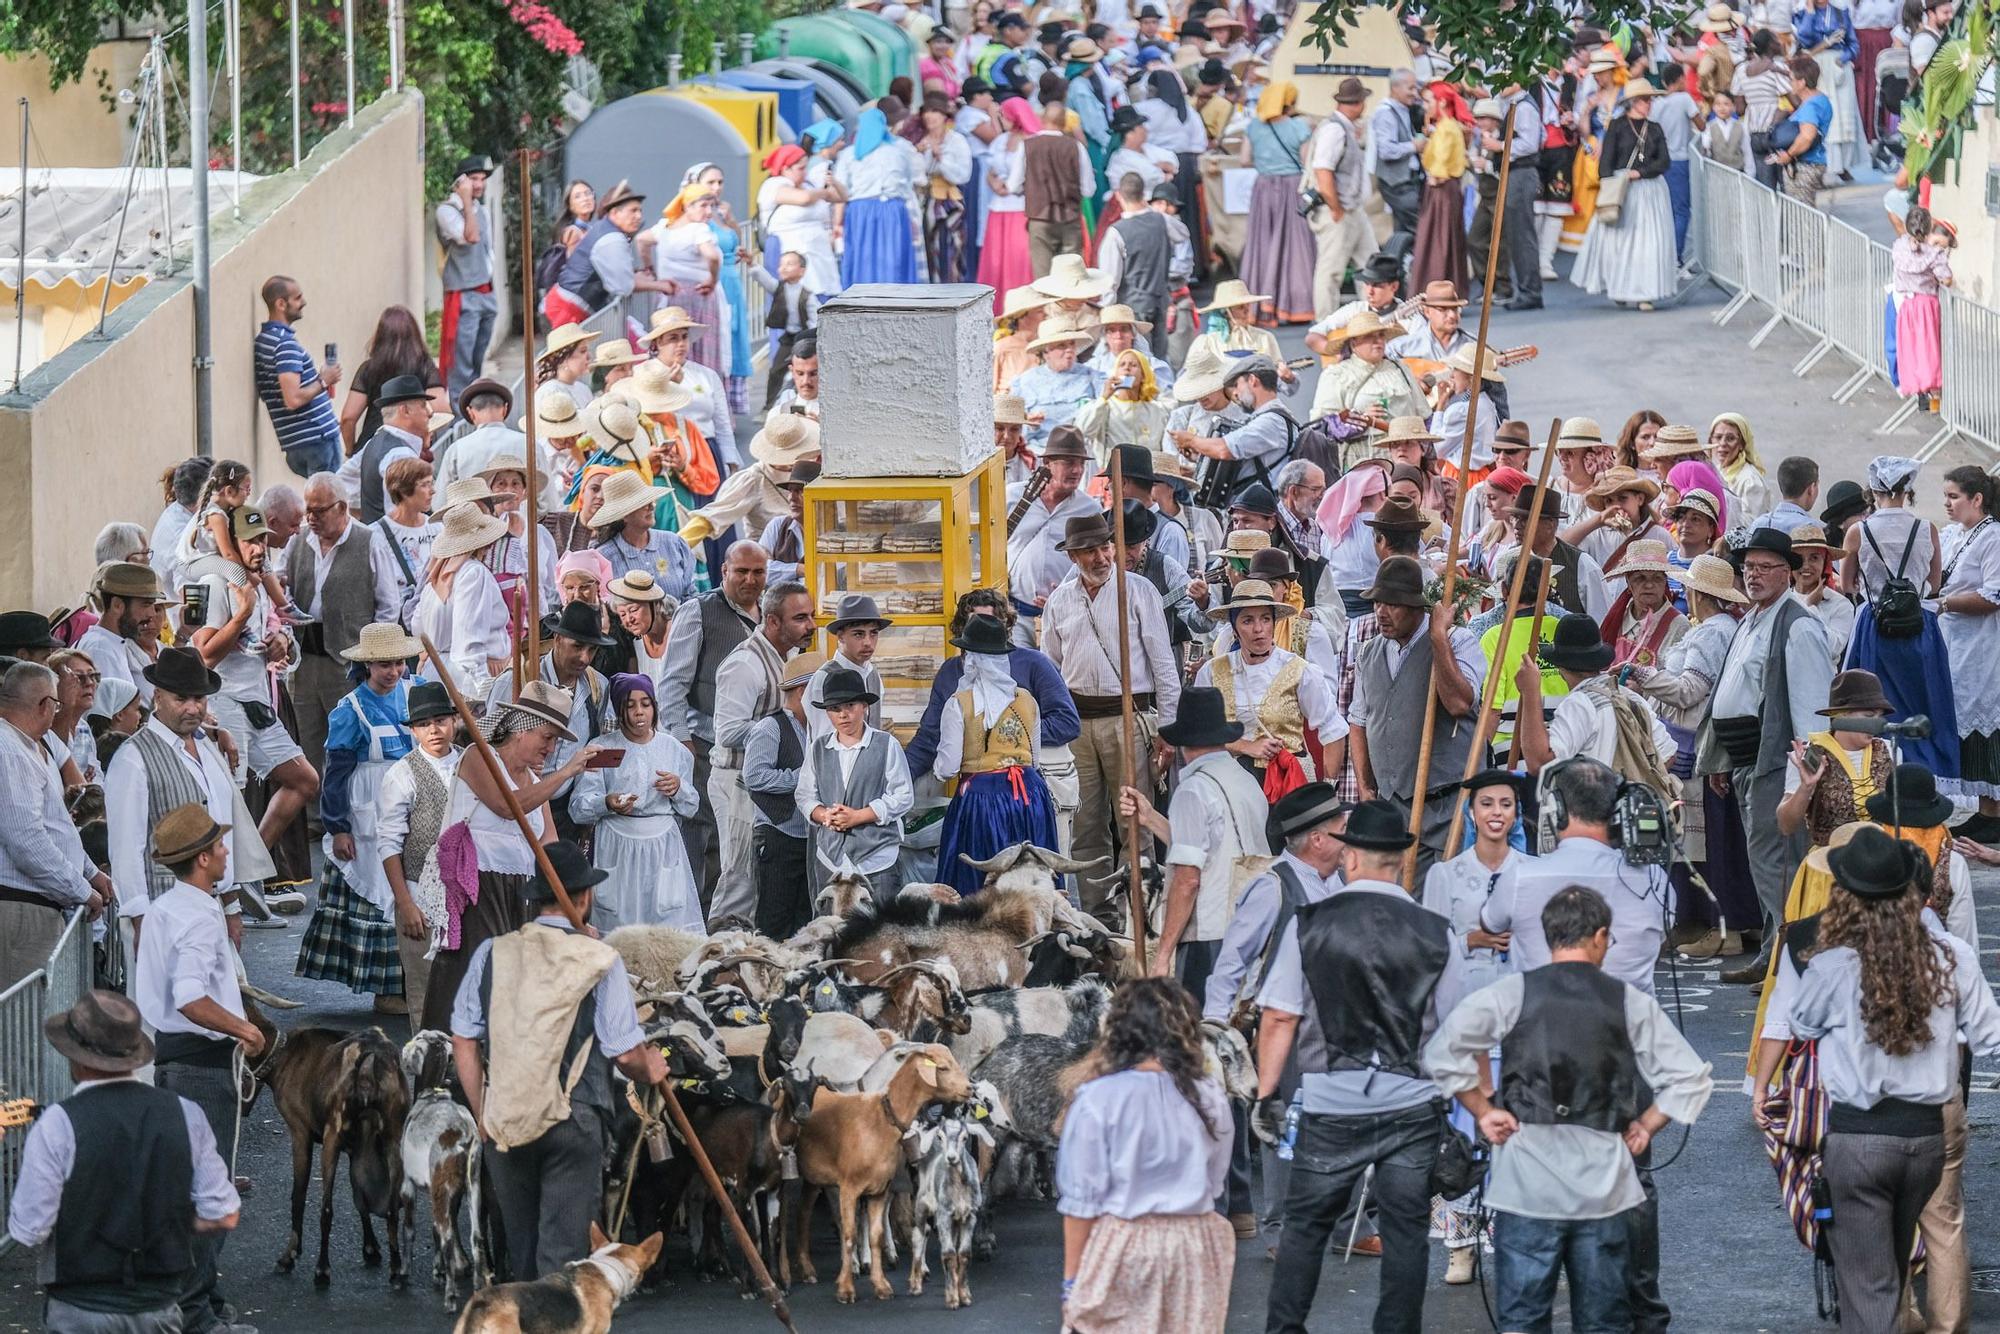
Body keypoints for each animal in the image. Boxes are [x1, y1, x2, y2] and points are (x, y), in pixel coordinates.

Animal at [268, 1032, 412, 1288]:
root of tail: (370, 1059)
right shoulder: (356, 1148)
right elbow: (359, 1196)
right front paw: (371, 1249)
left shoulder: (300, 1131)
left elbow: (298, 1196)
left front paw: (289, 1256)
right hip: (393, 1134)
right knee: (392, 1208)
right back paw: (396, 1270)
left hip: (331, 1137)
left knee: (326, 1209)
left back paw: (322, 1269)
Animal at [788, 1040, 968, 1304]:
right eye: (943, 1067)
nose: (970, 1088)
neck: (879, 1118)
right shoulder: (848, 1188)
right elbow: (850, 1233)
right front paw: (846, 1287)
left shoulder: (880, 1189)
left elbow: (877, 1234)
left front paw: (882, 1285)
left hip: (815, 1179)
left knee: (802, 1214)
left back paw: (808, 1269)